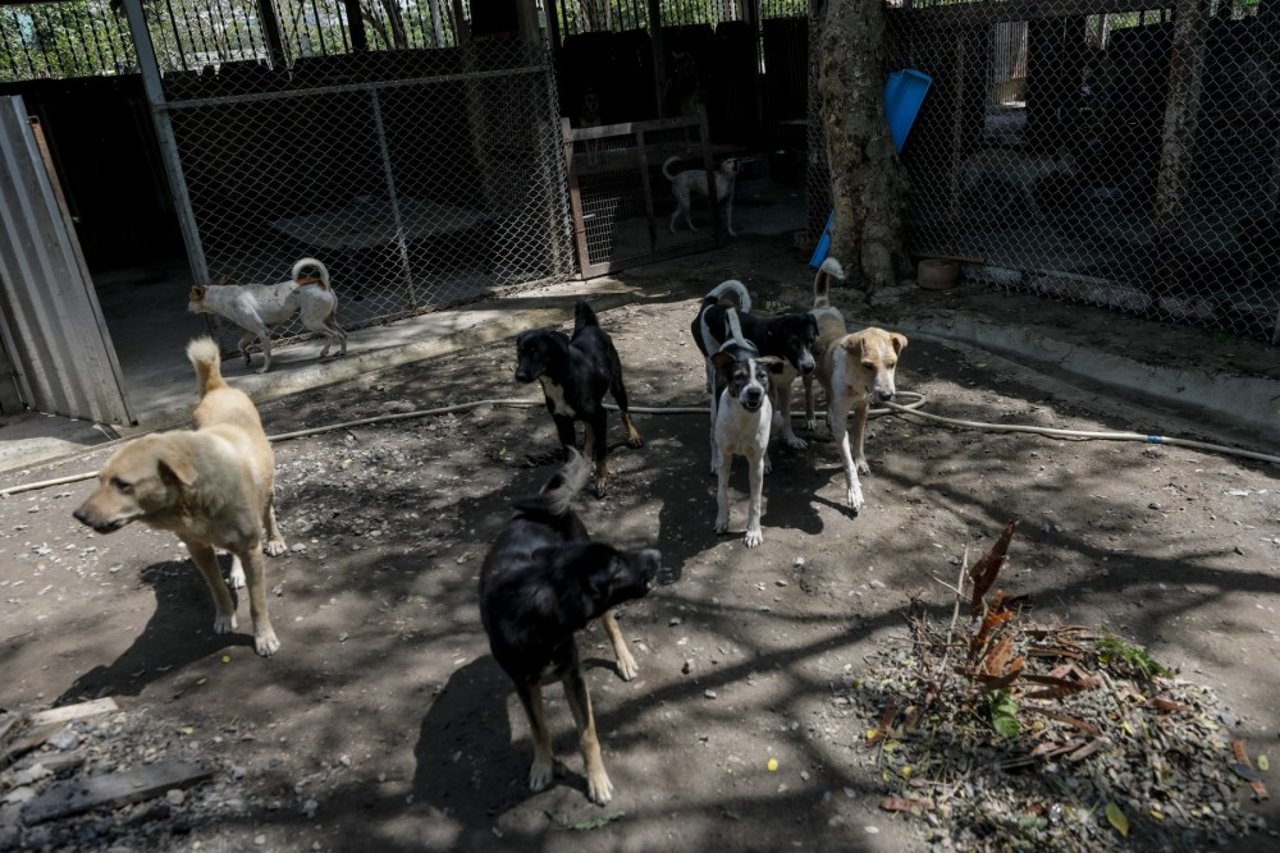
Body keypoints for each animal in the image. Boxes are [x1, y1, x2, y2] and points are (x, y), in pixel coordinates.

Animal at [74, 335, 288, 653]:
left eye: (122, 484)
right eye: (99, 480)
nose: (78, 515)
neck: (196, 502)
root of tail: (218, 388)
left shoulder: (251, 550)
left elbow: (258, 602)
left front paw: (264, 637)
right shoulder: (198, 550)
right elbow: (216, 588)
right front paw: (224, 616)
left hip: (268, 489)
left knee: (269, 512)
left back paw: (274, 541)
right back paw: (236, 572)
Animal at [478, 448, 665, 799]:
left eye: (618, 555)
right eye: (616, 566)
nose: (657, 554)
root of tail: (548, 504)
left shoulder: (574, 675)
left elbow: (587, 733)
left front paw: (597, 779)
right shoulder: (524, 684)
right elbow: (539, 729)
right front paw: (543, 766)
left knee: (611, 624)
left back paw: (624, 659)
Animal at [514, 300, 645, 494]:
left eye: (535, 352)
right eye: (519, 353)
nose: (519, 376)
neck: (559, 379)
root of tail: (590, 326)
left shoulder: (600, 415)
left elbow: (601, 452)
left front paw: (601, 479)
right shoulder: (562, 423)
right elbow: (568, 453)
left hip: (617, 386)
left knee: (623, 412)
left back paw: (633, 437)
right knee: (588, 427)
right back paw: (586, 452)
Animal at [691, 277, 819, 466]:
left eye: (811, 341)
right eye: (792, 343)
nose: (809, 367)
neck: (776, 346)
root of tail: (709, 304)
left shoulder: (784, 386)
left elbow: (786, 416)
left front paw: (791, 439)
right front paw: (765, 460)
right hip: (711, 353)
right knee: (709, 365)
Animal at [803, 256, 906, 512]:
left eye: (892, 364)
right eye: (868, 365)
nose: (887, 396)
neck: (856, 383)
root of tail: (822, 304)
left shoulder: (863, 409)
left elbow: (858, 441)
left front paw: (861, 462)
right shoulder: (844, 419)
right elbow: (847, 459)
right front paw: (854, 492)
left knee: (828, 395)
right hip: (807, 371)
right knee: (809, 393)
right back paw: (811, 418)